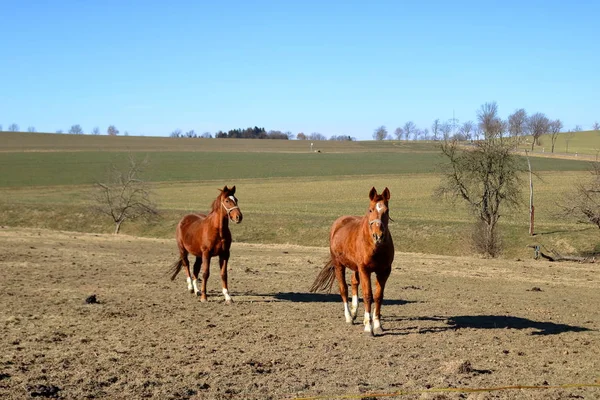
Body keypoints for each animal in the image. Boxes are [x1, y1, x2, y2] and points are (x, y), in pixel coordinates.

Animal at [310, 188, 394, 334]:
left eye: (386, 210)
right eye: (370, 210)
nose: (378, 236)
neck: (376, 247)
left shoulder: (384, 271)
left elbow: (378, 296)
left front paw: (377, 324)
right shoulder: (364, 269)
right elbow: (367, 295)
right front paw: (368, 327)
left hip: (355, 267)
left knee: (354, 282)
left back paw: (354, 312)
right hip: (339, 264)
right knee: (343, 289)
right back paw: (349, 316)